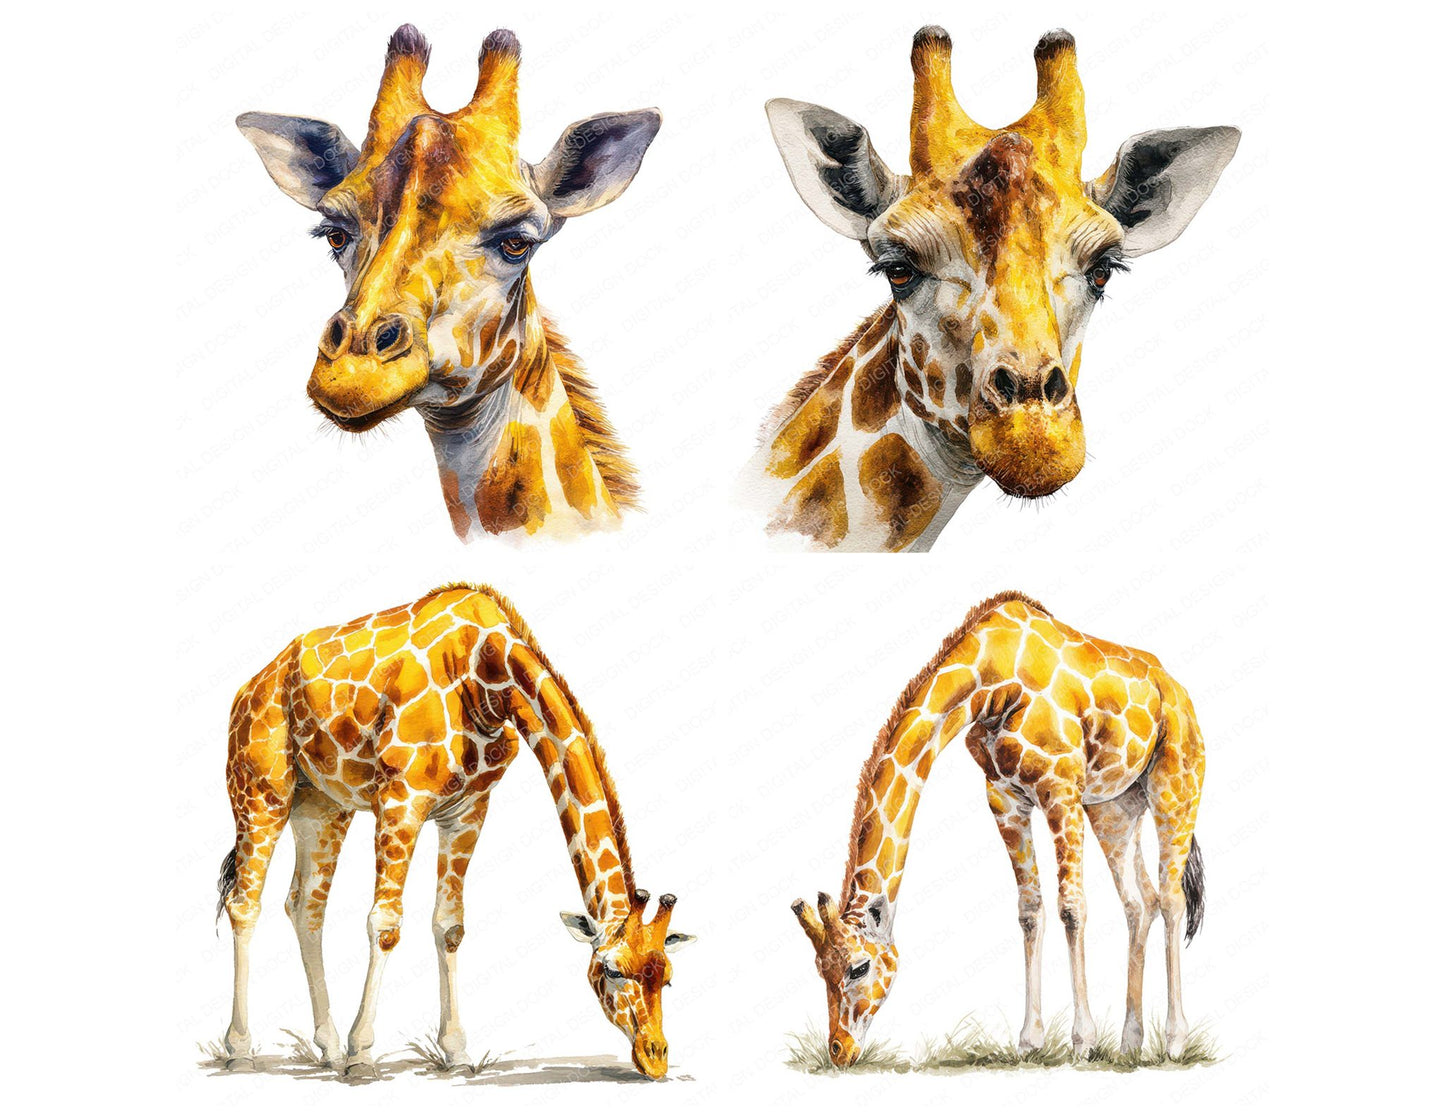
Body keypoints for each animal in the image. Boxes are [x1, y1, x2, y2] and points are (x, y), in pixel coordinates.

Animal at [217, 583, 695, 1079]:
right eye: (611, 970)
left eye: (667, 977)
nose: (655, 1057)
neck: (487, 674)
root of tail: (248, 689)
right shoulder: (401, 799)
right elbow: (385, 924)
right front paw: (362, 1055)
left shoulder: (467, 810)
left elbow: (449, 926)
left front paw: (457, 1053)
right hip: (261, 791)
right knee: (244, 902)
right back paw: (240, 1049)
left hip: (323, 806)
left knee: (305, 906)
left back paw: (327, 1048)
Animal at [792, 592, 1206, 1065]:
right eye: (818, 969)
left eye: (858, 967)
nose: (839, 1050)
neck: (991, 683)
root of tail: (1177, 689)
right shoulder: (1005, 799)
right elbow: (1030, 911)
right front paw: (1029, 1040)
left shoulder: (1061, 789)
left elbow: (1071, 908)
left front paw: (1082, 1040)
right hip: (1114, 807)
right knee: (1140, 902)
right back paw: (1129, 1042)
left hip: (1175, 788)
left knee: (1171, 899)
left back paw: (1174, 1040)